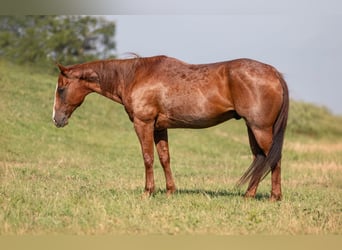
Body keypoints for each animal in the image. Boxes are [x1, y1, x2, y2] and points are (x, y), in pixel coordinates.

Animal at [52, 54, 288, 201]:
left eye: (61, 88)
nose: (56, 119)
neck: (135, 76)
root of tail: (274, 73)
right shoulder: (159, 128)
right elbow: (164, 158)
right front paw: (169, 191)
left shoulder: (143, 124)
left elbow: (148, 158)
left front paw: (148, 192)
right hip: (252, 128)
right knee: (260, 158)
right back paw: (249, 195)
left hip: (260, 128)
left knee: (273, 158)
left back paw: (274, 197)